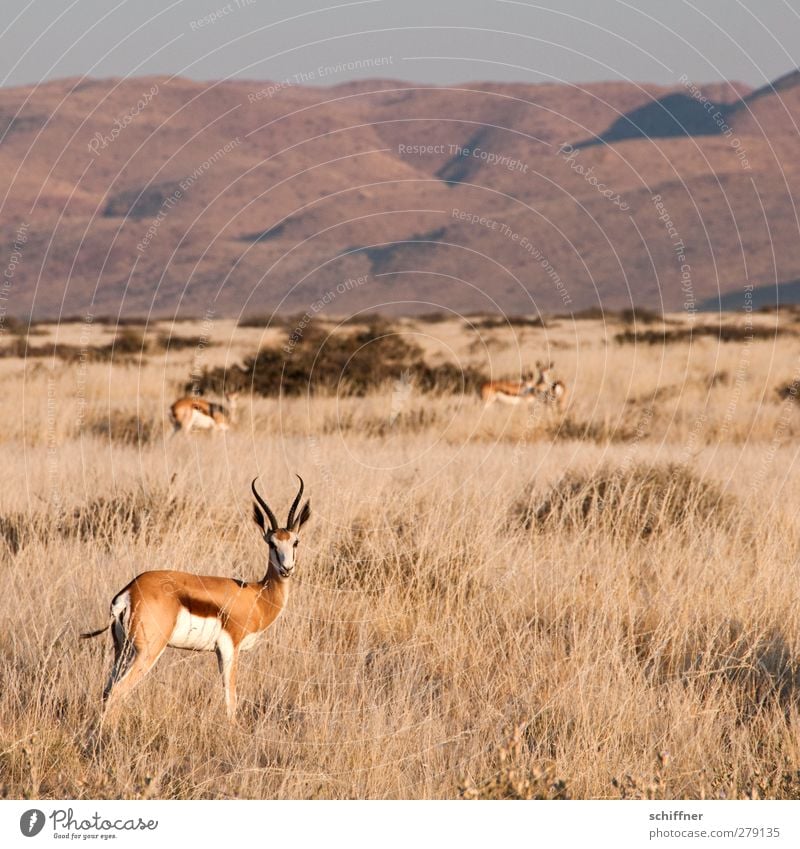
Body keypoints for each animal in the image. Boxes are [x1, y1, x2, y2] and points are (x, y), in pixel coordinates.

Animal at [81, 474, 310, 720]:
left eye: (295, 541)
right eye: (271, 543)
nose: (286, 568)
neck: (256, 596)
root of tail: (128, 592)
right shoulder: (229, 648)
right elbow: (231, 699)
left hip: (122, 650)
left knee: (106, 691)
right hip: (147, 652)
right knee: (117, 692)